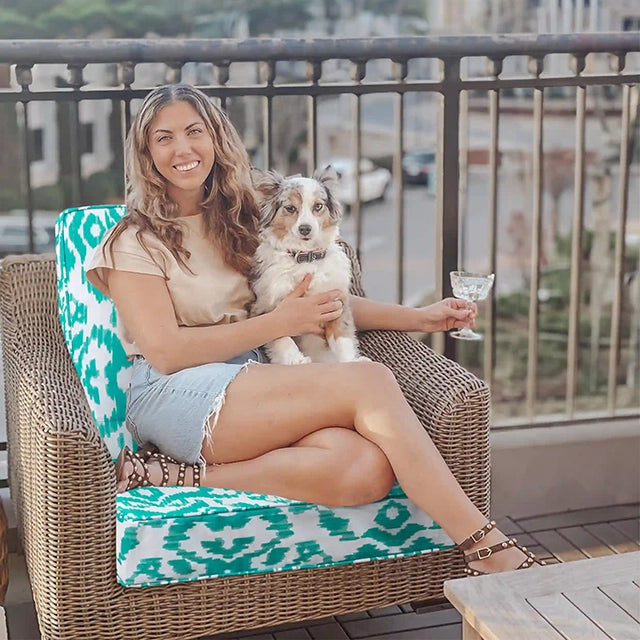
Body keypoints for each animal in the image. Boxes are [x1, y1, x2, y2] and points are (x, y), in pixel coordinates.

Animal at [250, 165, 368, 364]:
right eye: (290, 208)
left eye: (318, 206)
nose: (305, 228)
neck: (306, 257)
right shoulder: (264, 308)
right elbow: (281, 336)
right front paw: (295, 359)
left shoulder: (337, 303)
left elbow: (341, 337)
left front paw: (351, 361)